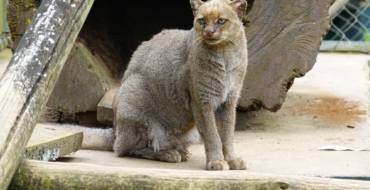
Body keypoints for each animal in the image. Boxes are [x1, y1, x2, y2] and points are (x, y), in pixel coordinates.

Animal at [112, 0, 249, 171]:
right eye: (202, 21)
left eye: (221, 21)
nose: (209, 32)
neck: (225, 54)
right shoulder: (203, 102)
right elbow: (213, 135)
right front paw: (216, 162)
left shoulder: (229, 101)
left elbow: (228, 135)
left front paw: (232, 160)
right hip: (133, 101)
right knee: (125, 149)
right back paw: (169, 154)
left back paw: (181, 152)